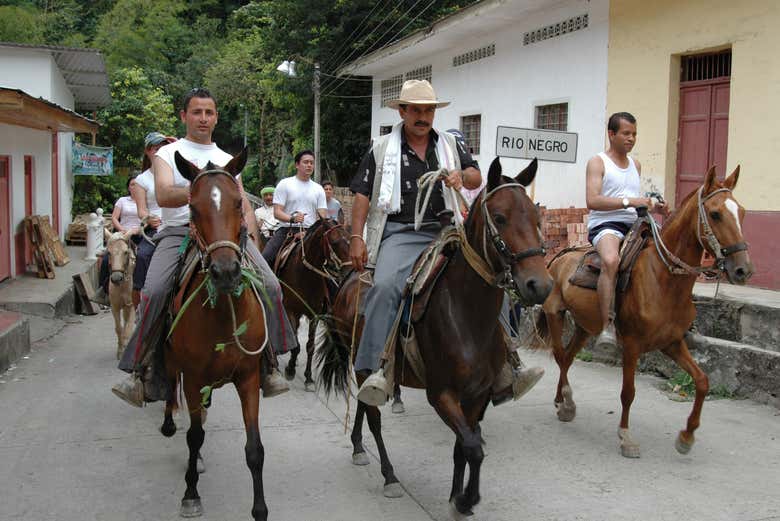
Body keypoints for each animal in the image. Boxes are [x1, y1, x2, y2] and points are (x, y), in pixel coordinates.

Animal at [158, 149, 271, 520]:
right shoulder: (193, 378)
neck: (223, 313)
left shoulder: (248, 378)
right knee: (172, 390)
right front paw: (190, 493)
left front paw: (260, 509)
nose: (225, 273)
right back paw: (168, 421)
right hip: (172, 362)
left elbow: (254, 448)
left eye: (238, 203)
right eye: (192, 208)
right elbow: (195, 437)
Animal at [274, 218, 351, 391]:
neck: (304, 274)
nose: (350, 268)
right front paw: (290, 369)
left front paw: (308, 377)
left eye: (349, 239)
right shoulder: (291, 310)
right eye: (334, 242)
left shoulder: (314, 314)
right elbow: (296, 343)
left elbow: (310, 346)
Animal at [318, 158, 553, 516]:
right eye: (500, 218)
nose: (539, 285)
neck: (466, 314)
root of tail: (350, 277)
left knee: (364, 404)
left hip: (363, 365)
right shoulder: (441, 394)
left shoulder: (477, 397)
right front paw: (466, 499)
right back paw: (389, 476)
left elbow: (464, 445)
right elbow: (473, 446)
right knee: (374, 418)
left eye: (537, 218)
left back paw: (358, 447)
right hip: (364, 362)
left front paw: (458, 498)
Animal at [535, 165, 753, 458]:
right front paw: (626, 437)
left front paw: (686, 436)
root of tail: (558, 257)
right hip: (555, 314)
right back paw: (567, 401)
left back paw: (563, 404)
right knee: (560, 356)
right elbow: (628, 392)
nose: (743, 270)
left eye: (742, 212)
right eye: (716, 214)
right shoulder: (632, 345)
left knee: (568, 358)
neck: (664, 279)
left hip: (584, 326)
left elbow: (703, 381)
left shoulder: (672, 342)